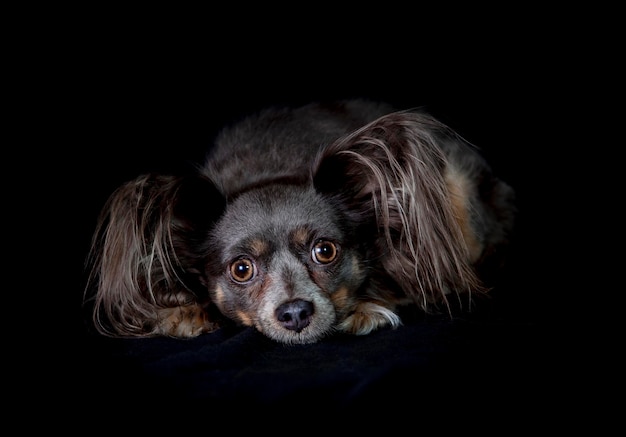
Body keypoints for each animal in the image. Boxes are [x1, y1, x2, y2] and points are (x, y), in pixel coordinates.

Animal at [83, 98, 516, 344]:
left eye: (325, 251)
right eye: (241, 269)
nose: (295, 314)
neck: (269, 169)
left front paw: (365, 308)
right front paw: (183, 311)